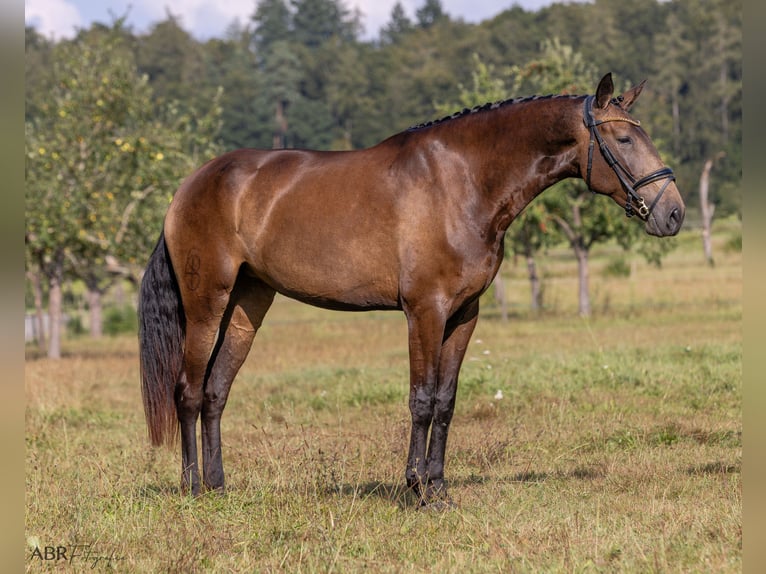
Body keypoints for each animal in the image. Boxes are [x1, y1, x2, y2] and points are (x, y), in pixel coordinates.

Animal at [138, 72, 684, 508]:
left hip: (247, 305)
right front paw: (416, 490)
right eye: (623, 138)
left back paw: (218, 487)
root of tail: (190, 185)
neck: (462, 181)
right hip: (206, 304)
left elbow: (446, 401)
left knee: (216, 392)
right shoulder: (425, 311)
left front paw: (439, 489)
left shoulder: (464, 315)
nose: (673, 212)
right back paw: (191, 489)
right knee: (188, 391)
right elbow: (421, 400)